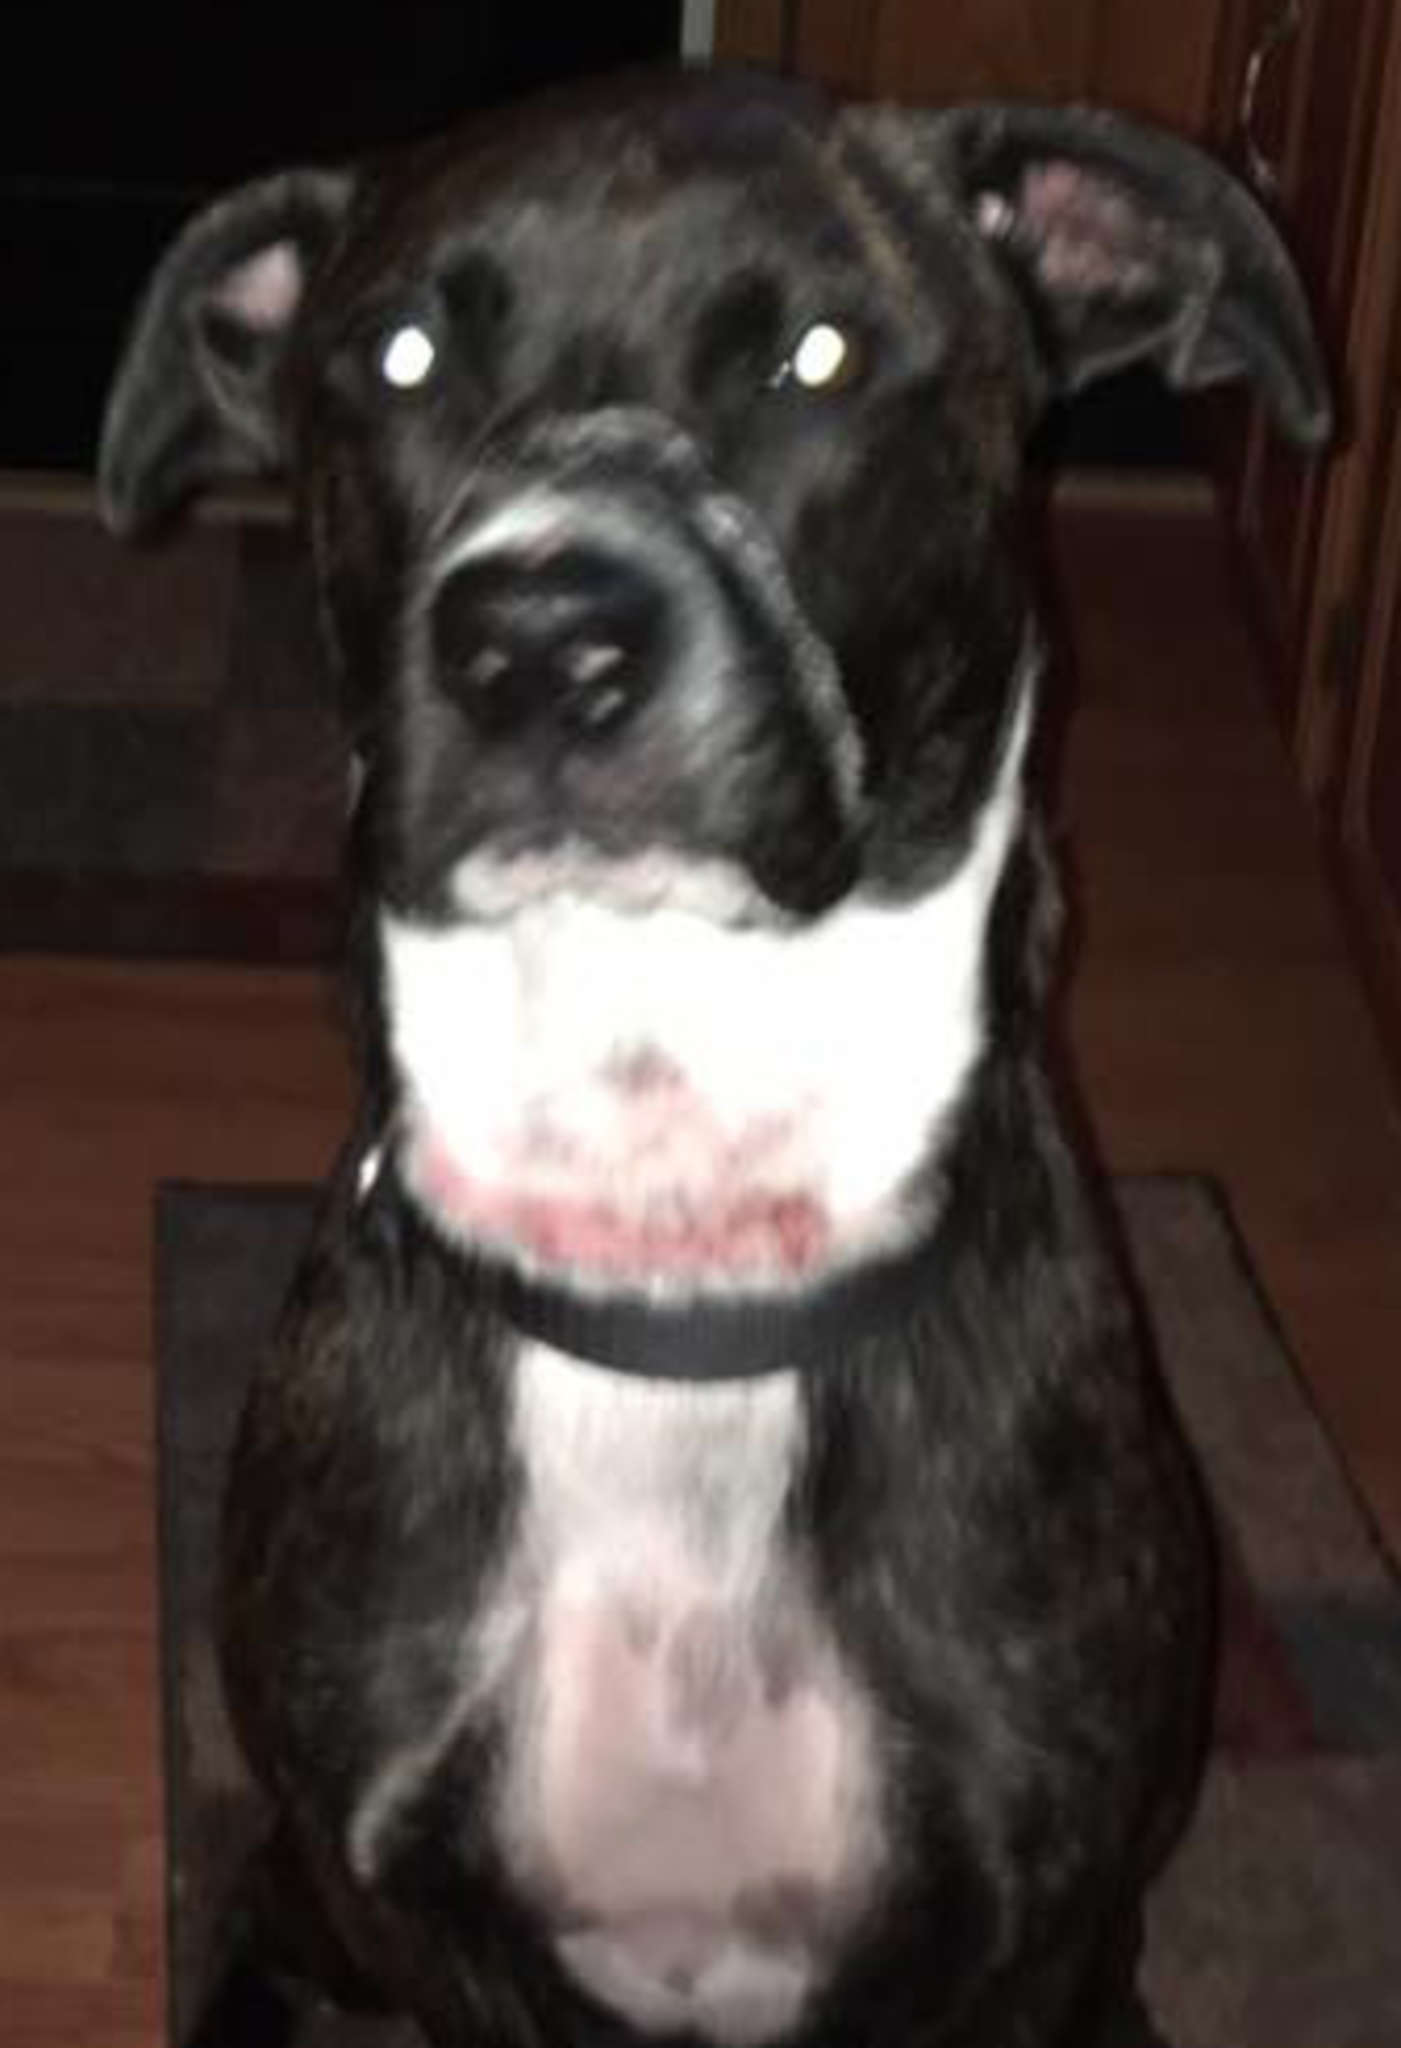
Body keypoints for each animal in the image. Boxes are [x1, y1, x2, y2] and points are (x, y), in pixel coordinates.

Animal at [100, 68, 1328, 2048]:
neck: (676, 1226)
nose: (535, 641)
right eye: (401, 356)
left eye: (819, 357)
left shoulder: (1021, 1939)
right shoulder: (425, 1917)